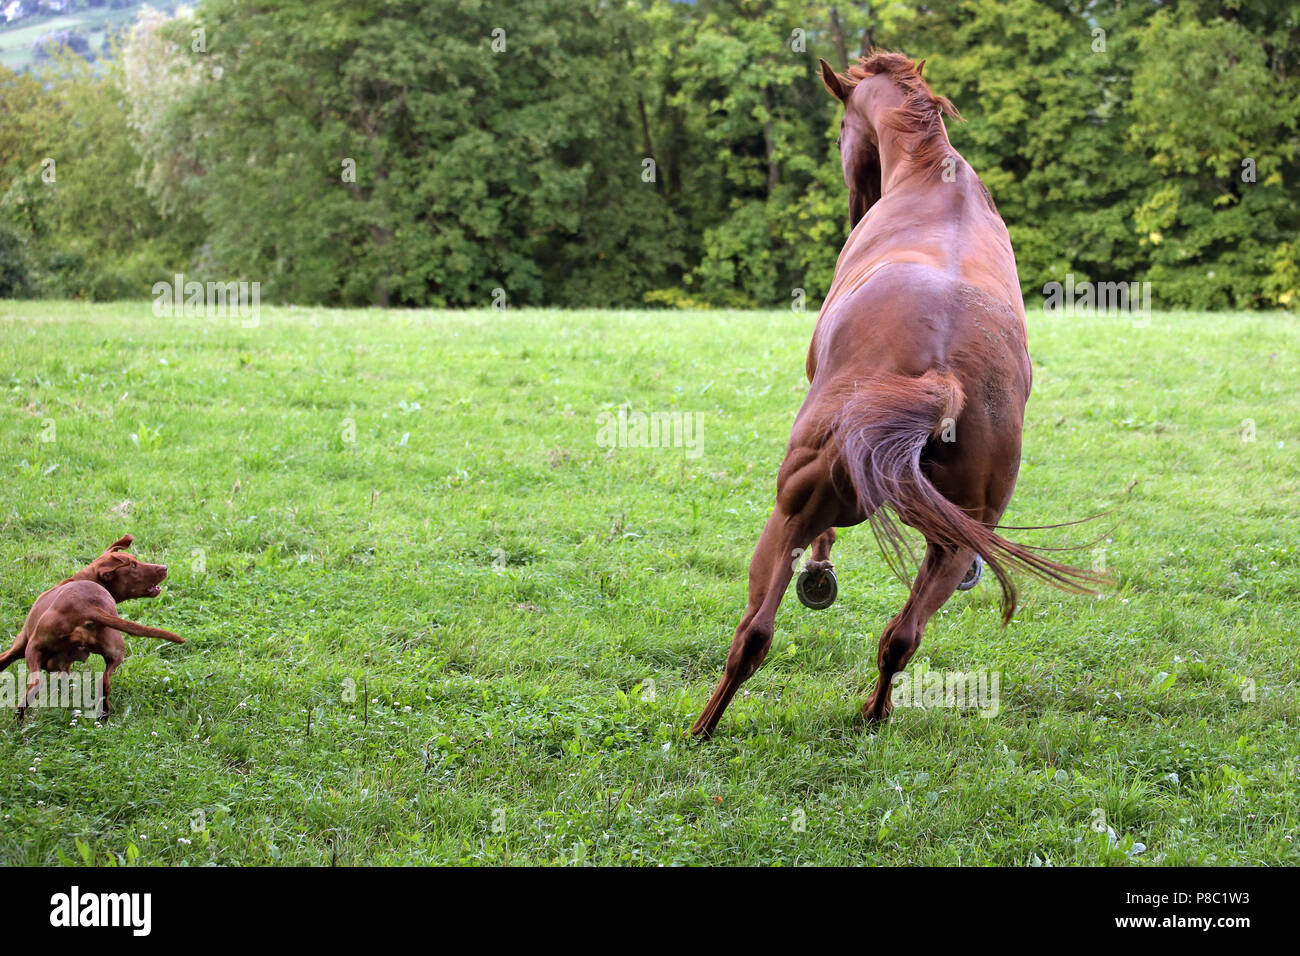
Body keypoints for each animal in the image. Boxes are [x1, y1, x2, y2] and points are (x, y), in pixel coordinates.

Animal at [1, 530, 183, 717]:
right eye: (133, 564)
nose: (164, 567)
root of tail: (86, 606)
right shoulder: (63, 666)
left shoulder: (20, 645)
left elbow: (3, 660)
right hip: (116, 653)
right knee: (105, 682)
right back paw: (103, 714)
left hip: (33, 647)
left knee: (35, 684)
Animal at [686, 50, 1102, 738]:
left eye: (839, 134)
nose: (856, 206)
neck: (935, 180)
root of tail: (943, 378)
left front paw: (820, 573)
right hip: (954, 546)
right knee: (901, 638)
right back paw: (872, 715)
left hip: (789, 512)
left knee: (755, 635)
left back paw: (701, 729)